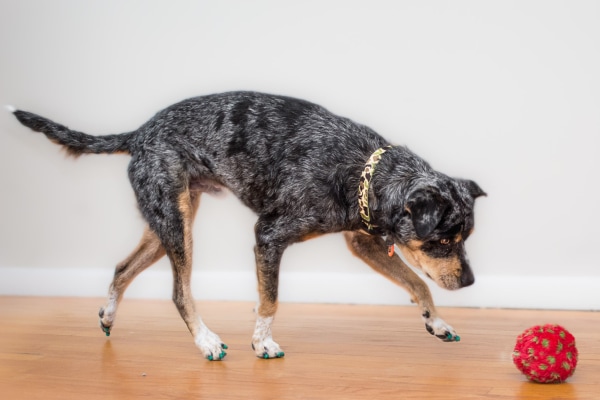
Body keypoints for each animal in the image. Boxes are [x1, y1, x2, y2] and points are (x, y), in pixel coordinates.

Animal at [9, 92, 486, 360]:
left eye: (465, 239)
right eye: (443, 240)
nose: (469, 282)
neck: (363, 171)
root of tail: (139, 132)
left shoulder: (363, 244)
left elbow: (417, 283)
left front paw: (436, 322)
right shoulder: (268, 237)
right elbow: (269, 301)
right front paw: (261, 344)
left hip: (165, 224)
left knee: (121, 269)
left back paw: (109, 315)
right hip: (176, 226)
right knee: (179, 292)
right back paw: (205, 341)